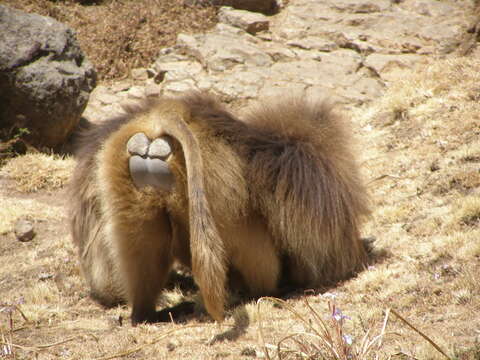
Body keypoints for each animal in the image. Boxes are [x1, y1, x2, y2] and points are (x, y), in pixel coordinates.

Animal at [68, 91, 372, 324]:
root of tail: (164, 116)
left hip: (127, 170)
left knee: (143, 246)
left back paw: (145, 314)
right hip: (214, 177)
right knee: (248, 246)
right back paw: (264, 290)